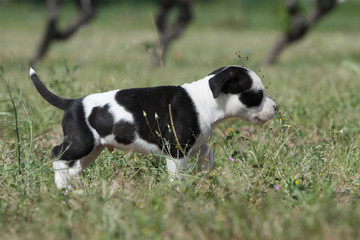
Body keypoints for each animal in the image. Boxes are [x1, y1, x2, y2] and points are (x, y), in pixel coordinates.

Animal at [29, 65, 278, 189]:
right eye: (257, 95)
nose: (276, 107)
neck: (206, 99)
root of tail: (73, 103)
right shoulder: (177, 150)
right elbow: (177, 176)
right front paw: (180, 191)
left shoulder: (194, 142)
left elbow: (208, 153)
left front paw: (204, 170)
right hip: (82, 142)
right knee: (57, 154)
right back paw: (61, 186)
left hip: (93, 148)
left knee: (74, 166)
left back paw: (75, 186)